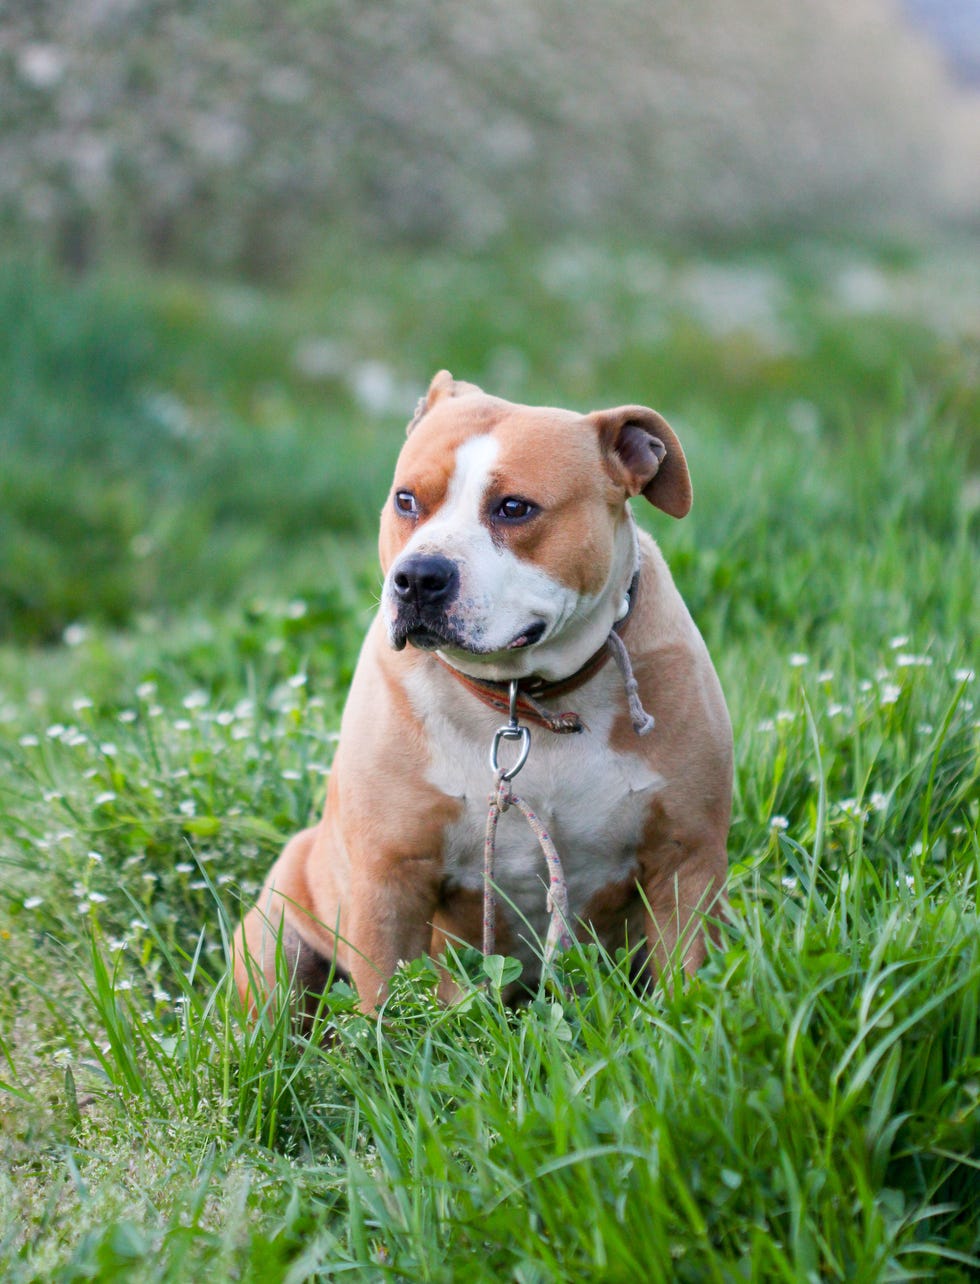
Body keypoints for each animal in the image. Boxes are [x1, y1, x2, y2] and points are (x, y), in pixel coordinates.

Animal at [233, 372, 734, 1011]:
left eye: (514, 508)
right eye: (406, 500)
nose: (418, 576)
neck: (527, 699)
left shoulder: (686, 859)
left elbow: (688, 979)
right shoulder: (388, 880)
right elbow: (384, 1006)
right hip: (277, 938)